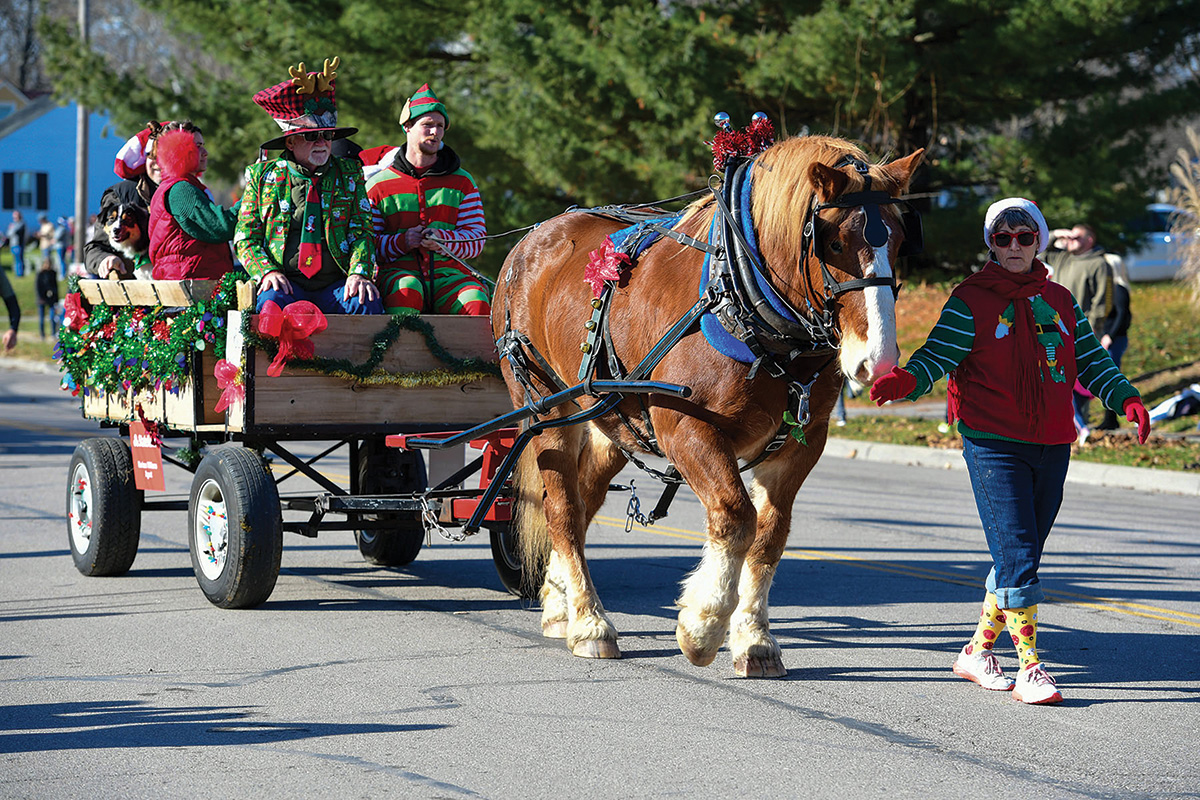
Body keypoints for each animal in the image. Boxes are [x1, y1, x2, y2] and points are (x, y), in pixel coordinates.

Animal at [492, 136, 921, 676]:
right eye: (836, 243)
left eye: (900, 242)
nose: (877, 361)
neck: (744, 301)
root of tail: (531, 240)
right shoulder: (687, 429)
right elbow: (736, 517)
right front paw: (703, 625)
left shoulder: (802, 442)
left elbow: (769, 534)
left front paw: (754, 639)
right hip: (544, 408)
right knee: (562, 509)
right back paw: (590, 622)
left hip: (608, 418)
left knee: (584, 497)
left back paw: (557, 603)